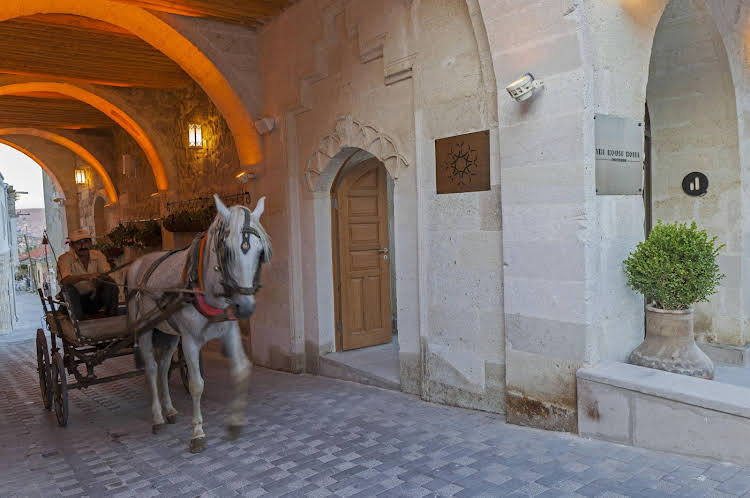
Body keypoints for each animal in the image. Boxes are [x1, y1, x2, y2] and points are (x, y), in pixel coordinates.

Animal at [126, 194, 271, 453]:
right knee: (151, 368)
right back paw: (157, 417)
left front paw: (235, 423)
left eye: (260, 252)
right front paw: (197, 433)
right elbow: (196, 385)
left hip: (170, 333)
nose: (245, 307)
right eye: (227, 250)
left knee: (163, 366)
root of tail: (137, 263)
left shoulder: (229, 331)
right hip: (145, 329)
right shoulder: (190, 340)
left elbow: (241, 370)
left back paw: (170, 410)